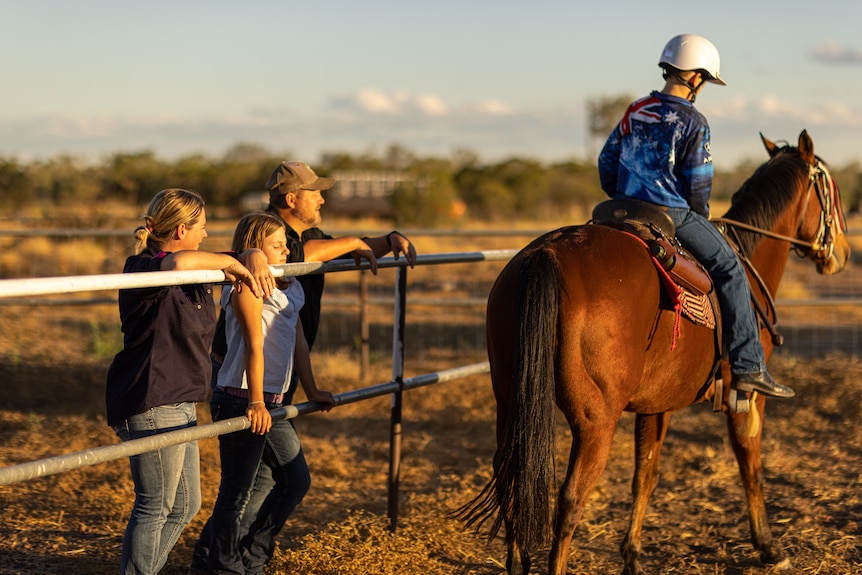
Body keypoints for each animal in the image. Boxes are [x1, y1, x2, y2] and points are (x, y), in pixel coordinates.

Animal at [462, 132, 852, 575]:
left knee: (512, 479)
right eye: (832, 192)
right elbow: (750, 465)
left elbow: (645, 474)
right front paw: (769, 547)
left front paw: (632, 555)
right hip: (595, 424)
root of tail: (548, 255)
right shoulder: (747, 396)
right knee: (570, 500)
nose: (842, 252)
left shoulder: (655, 405)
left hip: (510, 405)